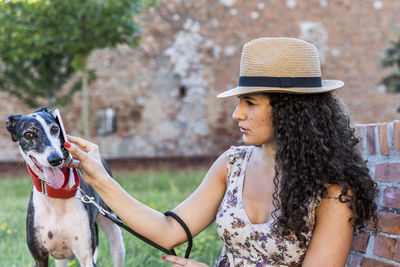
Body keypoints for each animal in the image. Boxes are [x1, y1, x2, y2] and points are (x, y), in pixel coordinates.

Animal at [6, 108, 125, 267]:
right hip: (61, 259)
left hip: (116, 237)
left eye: (55, 129)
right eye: (28, 134)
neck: (57, 194)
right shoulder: (39, 257)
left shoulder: (86, 257)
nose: (56, 159)